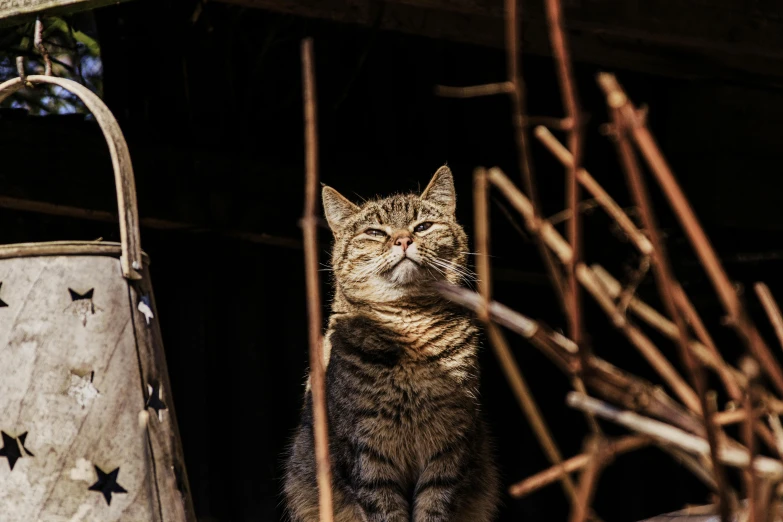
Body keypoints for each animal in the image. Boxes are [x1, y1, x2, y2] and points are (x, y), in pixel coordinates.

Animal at [284, 166, 500, 520]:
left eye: (422, 226)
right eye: (374, 232)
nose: (403, 239)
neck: (410, 328)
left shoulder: (450, 443)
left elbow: (434, 504)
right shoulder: (366, 451)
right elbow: (385, 508)